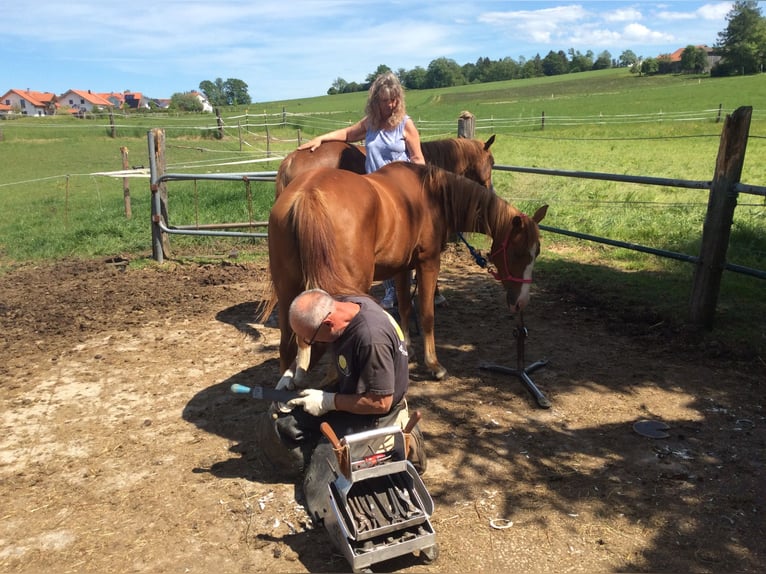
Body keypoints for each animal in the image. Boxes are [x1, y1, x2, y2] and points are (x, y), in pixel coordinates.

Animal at [268, 162, 548, 384]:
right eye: (517, 253)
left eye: (537, 251)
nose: (521, 302)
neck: (432, 196)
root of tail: (309, 194)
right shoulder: (428, 263)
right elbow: (426, 314)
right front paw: (434, 365)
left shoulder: (402, 268)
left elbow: (404, 306)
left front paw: (408, 348)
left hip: (288, 290)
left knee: (286, 345)